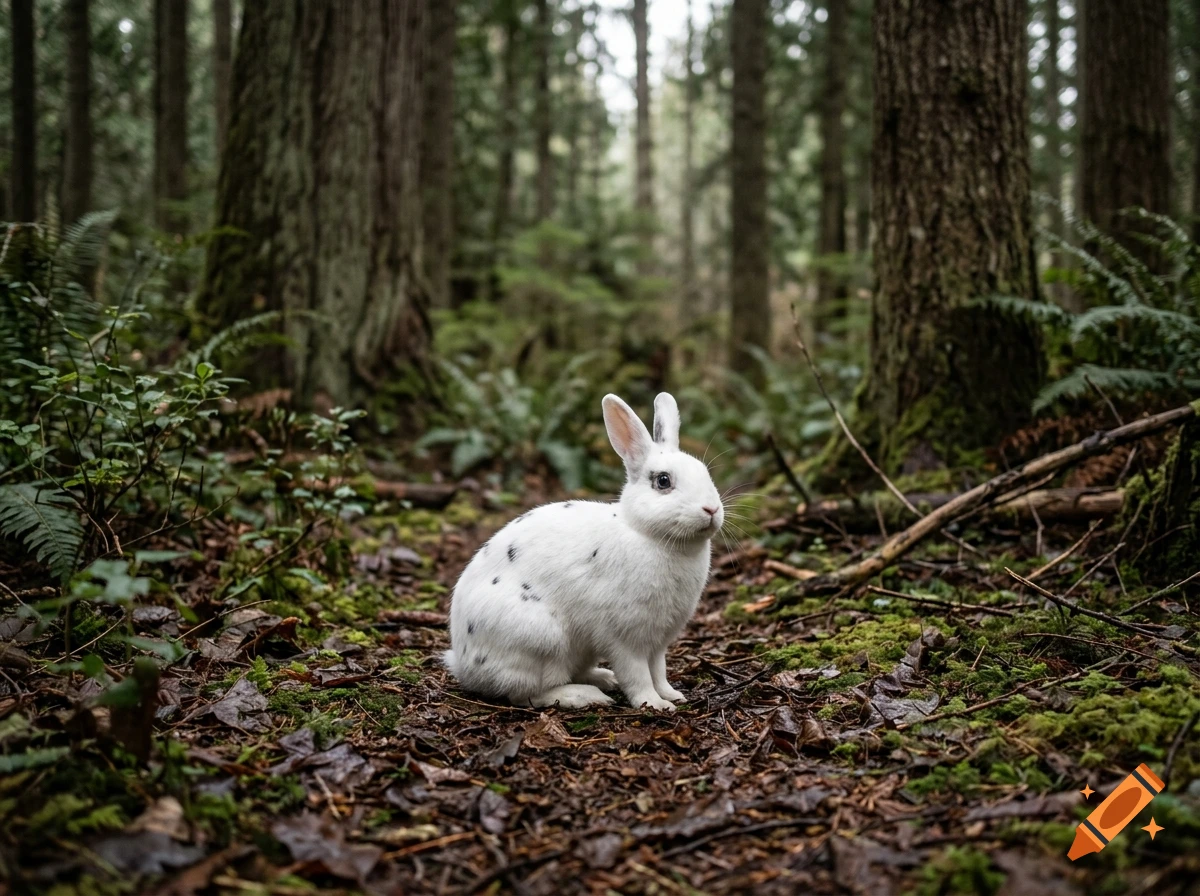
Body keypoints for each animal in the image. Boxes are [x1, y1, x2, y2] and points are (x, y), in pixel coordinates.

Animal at [442, 392, 724, 711]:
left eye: (705, 473)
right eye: (663, 481)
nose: (712, 509)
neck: (648, 534)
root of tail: (463, 664)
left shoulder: (658, 642)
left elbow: (659, 670)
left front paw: (672, 695)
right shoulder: (626, 639)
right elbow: (638, 675)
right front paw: (654, 704)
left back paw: (603, 678)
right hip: (540, 639)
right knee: (526, 694)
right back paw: (585, 695)